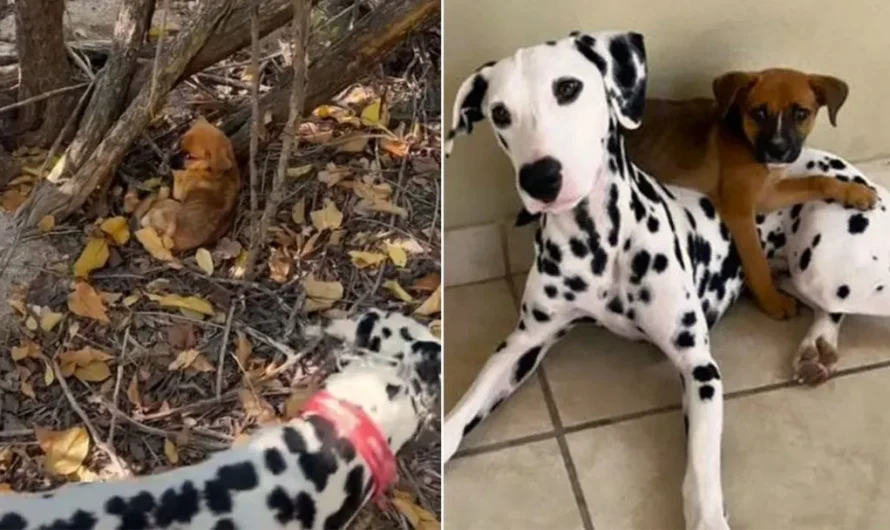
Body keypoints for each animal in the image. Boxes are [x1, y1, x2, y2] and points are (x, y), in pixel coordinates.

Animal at [624, 68, 876, 320]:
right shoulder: (741, 212)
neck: (744, 138)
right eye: (759, 113)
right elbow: (757, 262)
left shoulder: (767, 194)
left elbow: (816, 179)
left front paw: (855, 191)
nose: (777, 150)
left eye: (801, 113)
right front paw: (773, 301)